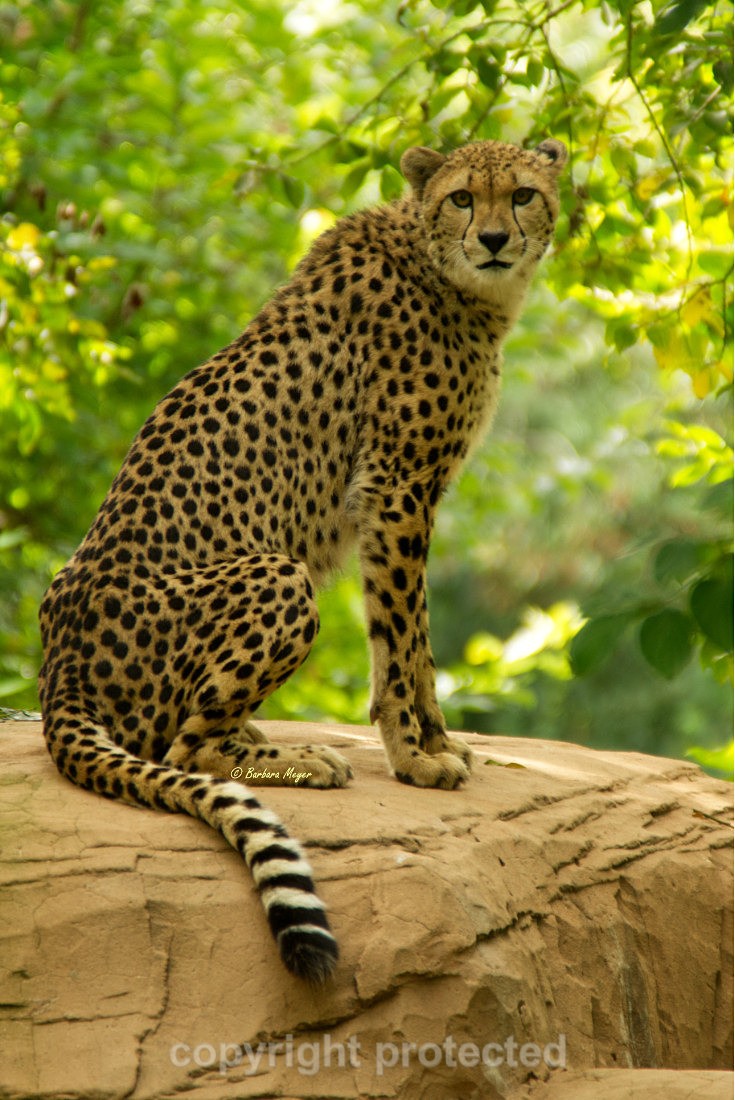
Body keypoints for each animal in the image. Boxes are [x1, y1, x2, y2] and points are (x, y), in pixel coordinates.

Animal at [38, 136, 567, 983]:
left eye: (521, 194)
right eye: (461, 198)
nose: (491, 239)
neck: (442, 267)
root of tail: (62, 674)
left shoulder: (403, 492)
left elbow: (414, 641)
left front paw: (439, 743)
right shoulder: (394, 489)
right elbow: (402, 640)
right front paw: (416, 759)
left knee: (188, 736)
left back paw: (264, 735)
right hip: (280, 573)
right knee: (188, 749)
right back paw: (304, 759)